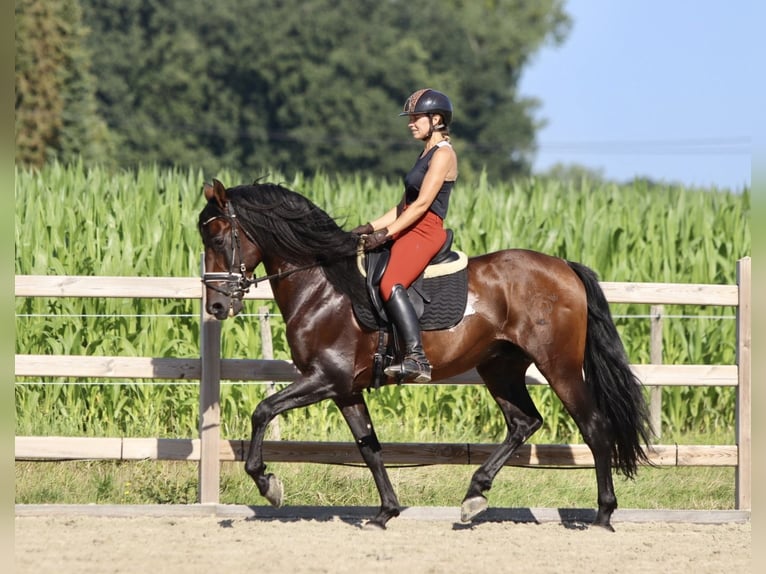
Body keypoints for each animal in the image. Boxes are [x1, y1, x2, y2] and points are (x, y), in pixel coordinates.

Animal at [198, 179, 656, 532]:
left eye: (218, 237)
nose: (217, 307)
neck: (324, 286)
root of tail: (563, 266)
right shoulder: (345, 388)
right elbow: (369, 446)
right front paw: (385, 512)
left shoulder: (326, 377)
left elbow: (262, 410)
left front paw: (268, 485)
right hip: (500, 367)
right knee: (524, 422)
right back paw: (474, 495)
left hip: (559, 366)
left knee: (594, 427)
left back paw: (603, 515)